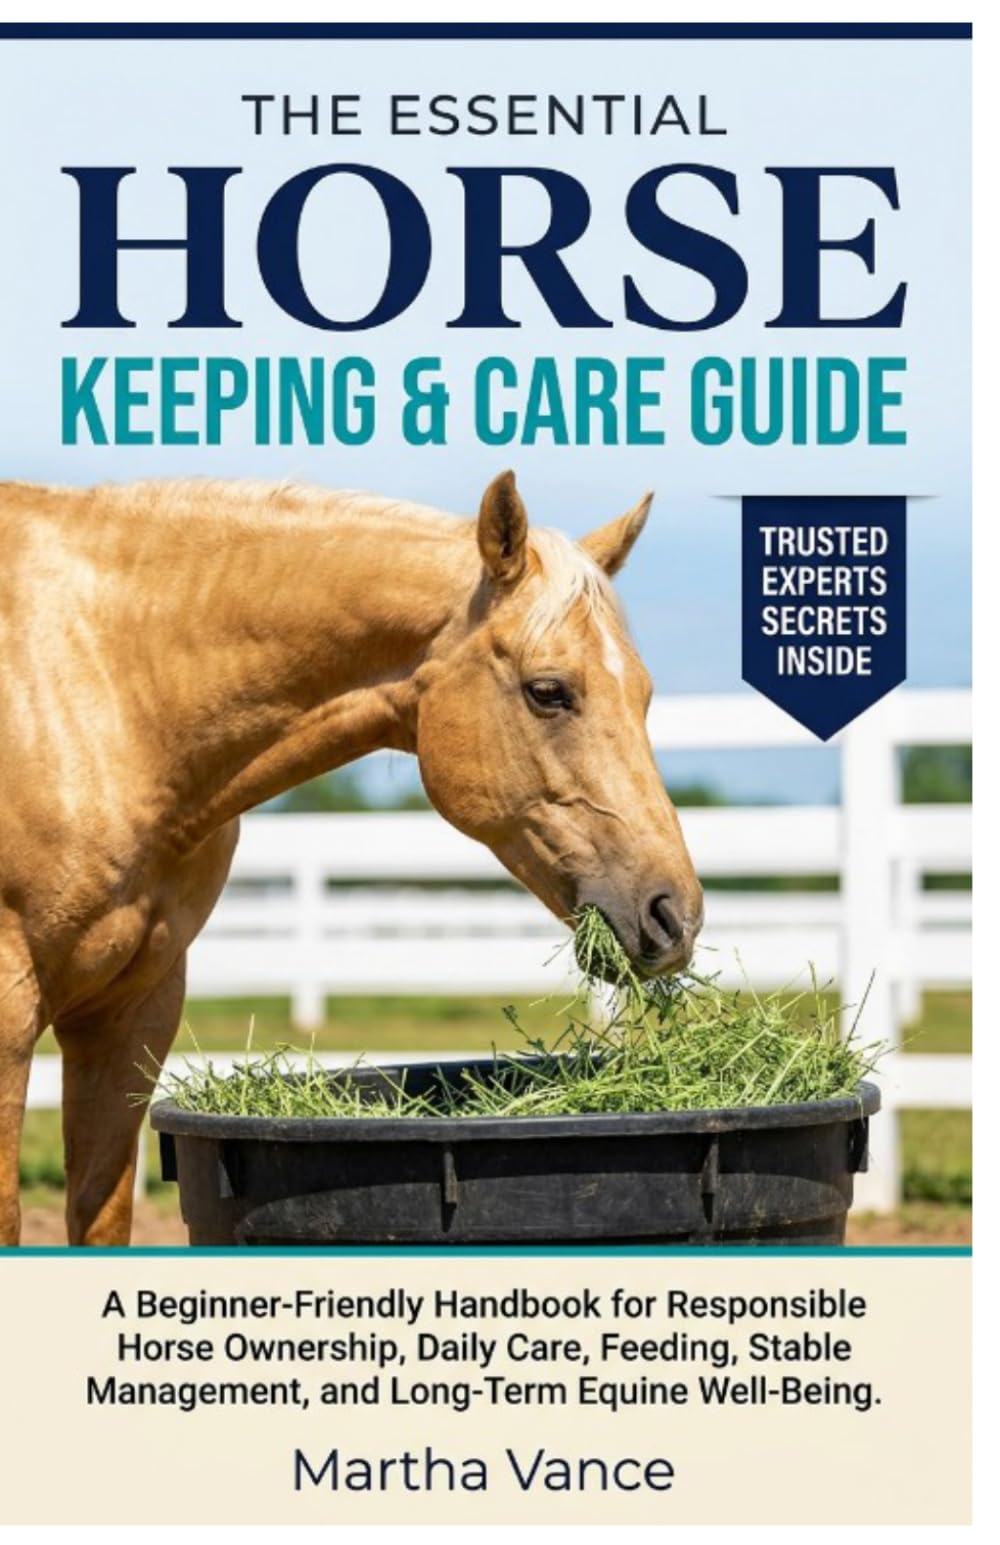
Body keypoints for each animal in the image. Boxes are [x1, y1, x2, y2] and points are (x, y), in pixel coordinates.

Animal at [0, 471, 703, 1245]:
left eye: (642, 692)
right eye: (549, 691)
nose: (674, 914)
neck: (108, 691)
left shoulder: (132, 1010)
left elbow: (100, 1212)